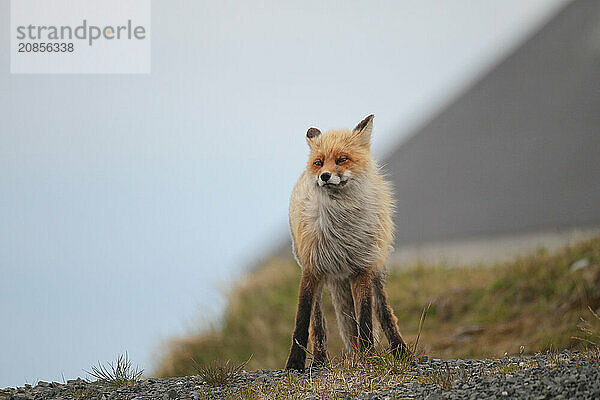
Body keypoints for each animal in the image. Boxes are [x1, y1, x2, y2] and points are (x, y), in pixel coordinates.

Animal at [284, 114, 408, 370]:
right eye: (319, 163)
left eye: (342, 159)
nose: (324, 176)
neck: (341, 231)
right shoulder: (311, 268)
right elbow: (302, 321)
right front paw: (294, 363)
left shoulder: (362, 269)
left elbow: (365, 319)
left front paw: (369, 357)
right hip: (324, 277)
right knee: (318, 323)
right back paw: (319, 360)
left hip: (376, 271)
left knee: (383, 312)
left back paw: (401, 351)